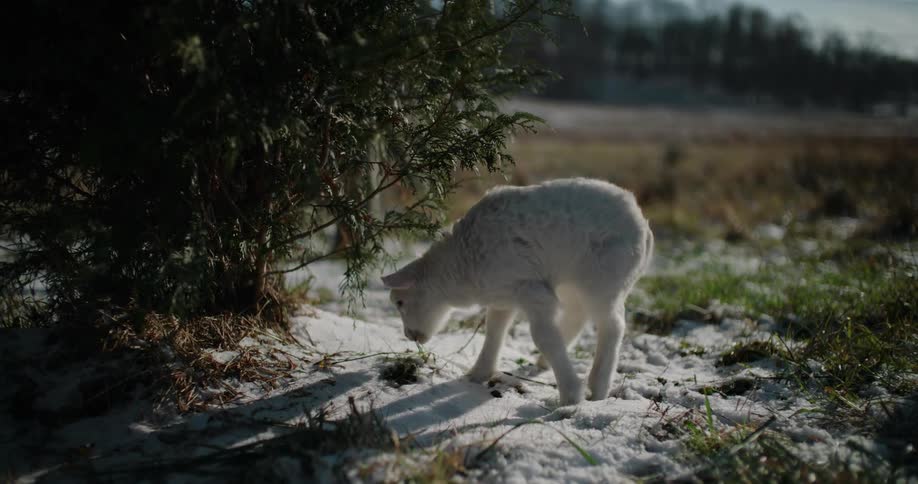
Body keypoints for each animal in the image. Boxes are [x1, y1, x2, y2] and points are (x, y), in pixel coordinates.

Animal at [382, 178, 653, 405]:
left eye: (400, 303)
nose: (410, 336)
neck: (459, 263)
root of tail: (644, 227)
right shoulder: (503, 296)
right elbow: (494, 329)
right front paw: (478, 374)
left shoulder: (531, 291)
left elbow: (543, 336)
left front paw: (571, 396)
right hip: (575, 284)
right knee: (579, 315)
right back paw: (547, 361)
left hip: (603, 280)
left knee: (612, 327)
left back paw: (597, 389)